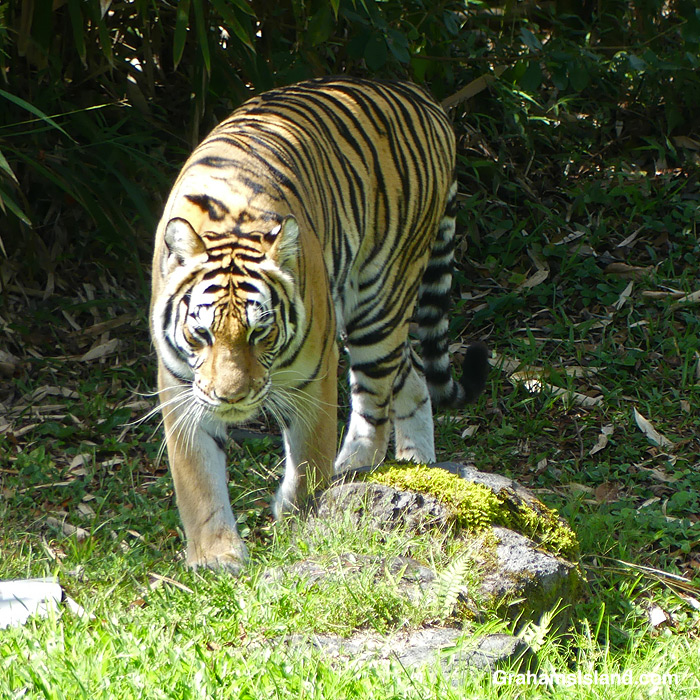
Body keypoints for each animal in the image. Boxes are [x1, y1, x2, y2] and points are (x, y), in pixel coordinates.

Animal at [150, 76, 489, 572]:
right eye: (203, 333)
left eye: (260, 333)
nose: (232, 398)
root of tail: (422, 96)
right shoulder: (181, 387)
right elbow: (198, 477)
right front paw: (216, 556)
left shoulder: (314, 372)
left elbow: (310, 459)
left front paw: (297, 519)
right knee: (412, 375)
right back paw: (417, 465)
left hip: (379, 300)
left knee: (375, 400)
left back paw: (356, 468)